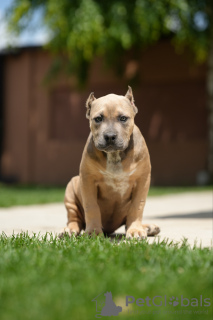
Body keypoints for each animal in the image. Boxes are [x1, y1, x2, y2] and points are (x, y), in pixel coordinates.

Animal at [62, 86, 160, 239]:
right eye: (98, 119)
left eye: (123, 118)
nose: (109, 136)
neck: (114, 156)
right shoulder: (87, 180)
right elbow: (91, 206)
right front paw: (93, 232)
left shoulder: (142, 180)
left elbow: (137, 207)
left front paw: (135, 230)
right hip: (71, 189)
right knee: (74, 218)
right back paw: (69, 230)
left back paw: (148, 227)